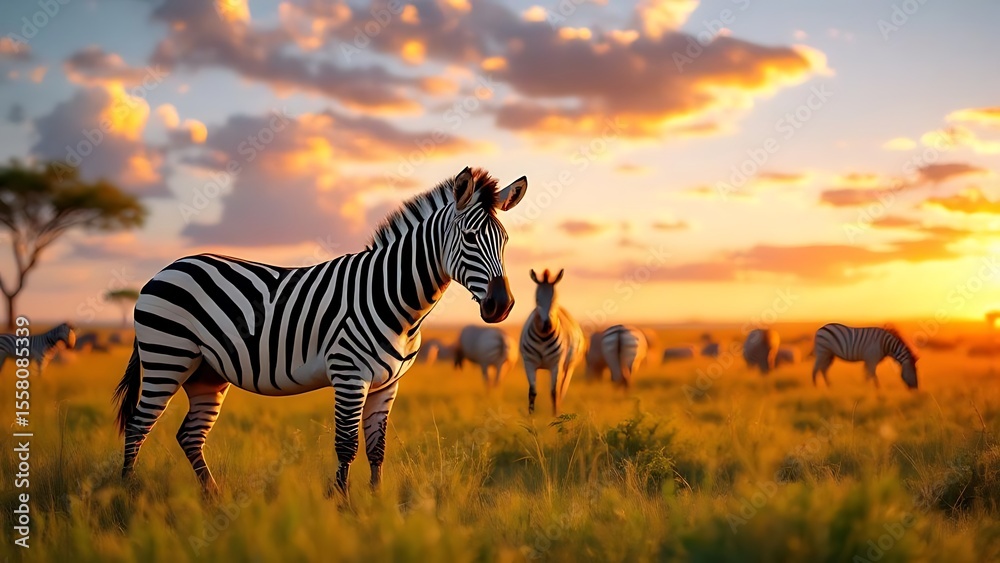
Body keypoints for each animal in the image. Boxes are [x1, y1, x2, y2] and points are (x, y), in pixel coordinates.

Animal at [112, 167, 527, 495]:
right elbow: (346, 446)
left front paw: (377, 506)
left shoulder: (388, 385)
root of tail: (166, 269)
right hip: (167, 357)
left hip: (206, 373)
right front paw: (342, 506)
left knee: (189, 435)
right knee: (138, 425)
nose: (502, 305)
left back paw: (213, 498)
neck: (398, 303)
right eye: (470, 238)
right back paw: (127, 495)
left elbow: (377, 448)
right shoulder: (349, 375)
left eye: (505, 241)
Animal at [520, 269, 585, 415]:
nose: (547, 326)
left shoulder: (557, 364)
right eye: (537, 300)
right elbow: (532, 393)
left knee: (561, 390)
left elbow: (554, 393)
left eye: (554, 299)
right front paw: (530, 417)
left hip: (568, 366)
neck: (543, 338)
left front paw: (555, 417)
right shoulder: (529, 363)